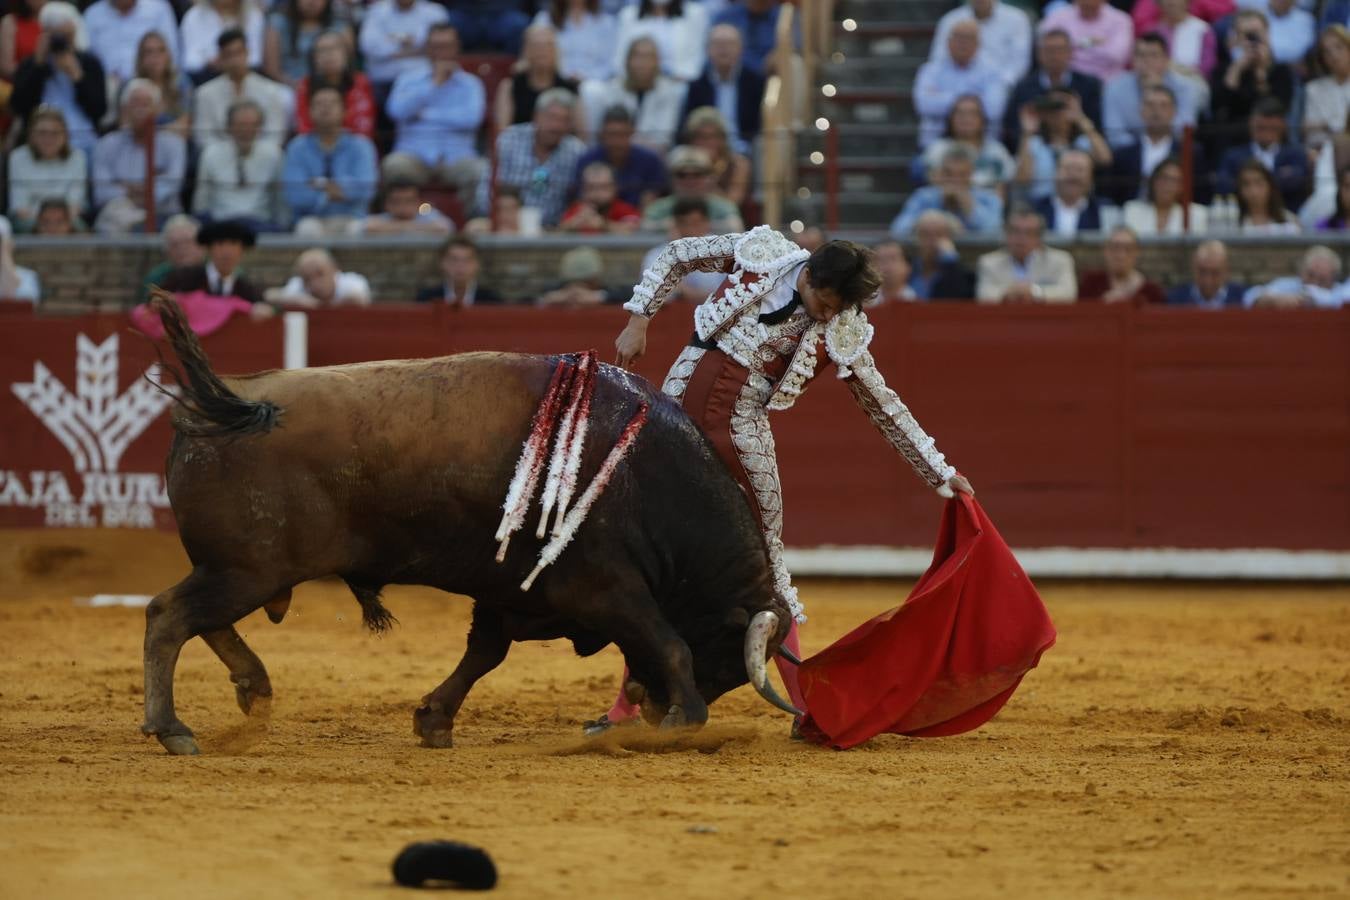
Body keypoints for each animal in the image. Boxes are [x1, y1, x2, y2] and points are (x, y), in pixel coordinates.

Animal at [141, 294, 799, 755]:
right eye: (725, 657)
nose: (656, 708)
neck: (641, 472)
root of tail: (234, 404)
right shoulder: (608, 588)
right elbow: (667, 641)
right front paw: (687, 722)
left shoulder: (514, 592)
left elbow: (485, 653)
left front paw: (433, 721)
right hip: (247, 568)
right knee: (170, 616)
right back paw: (174, 727)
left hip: (241, 569)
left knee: (202, 620)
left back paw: (253, 690)